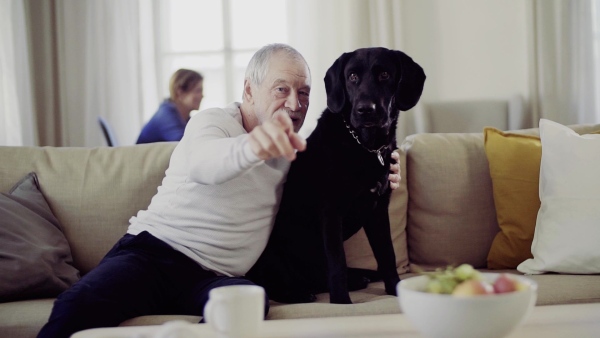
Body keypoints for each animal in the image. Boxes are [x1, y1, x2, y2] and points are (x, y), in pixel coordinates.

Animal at [247, 46, 426, 304]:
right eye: (352, 76)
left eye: (384, 75)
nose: (365, 110)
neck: (365, 146)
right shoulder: (331, 212)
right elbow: (337, 262)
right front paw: (342, 302)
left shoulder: (378, 211)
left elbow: (387, 255)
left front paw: (395, 288)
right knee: (273, 285)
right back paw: (300, 293)